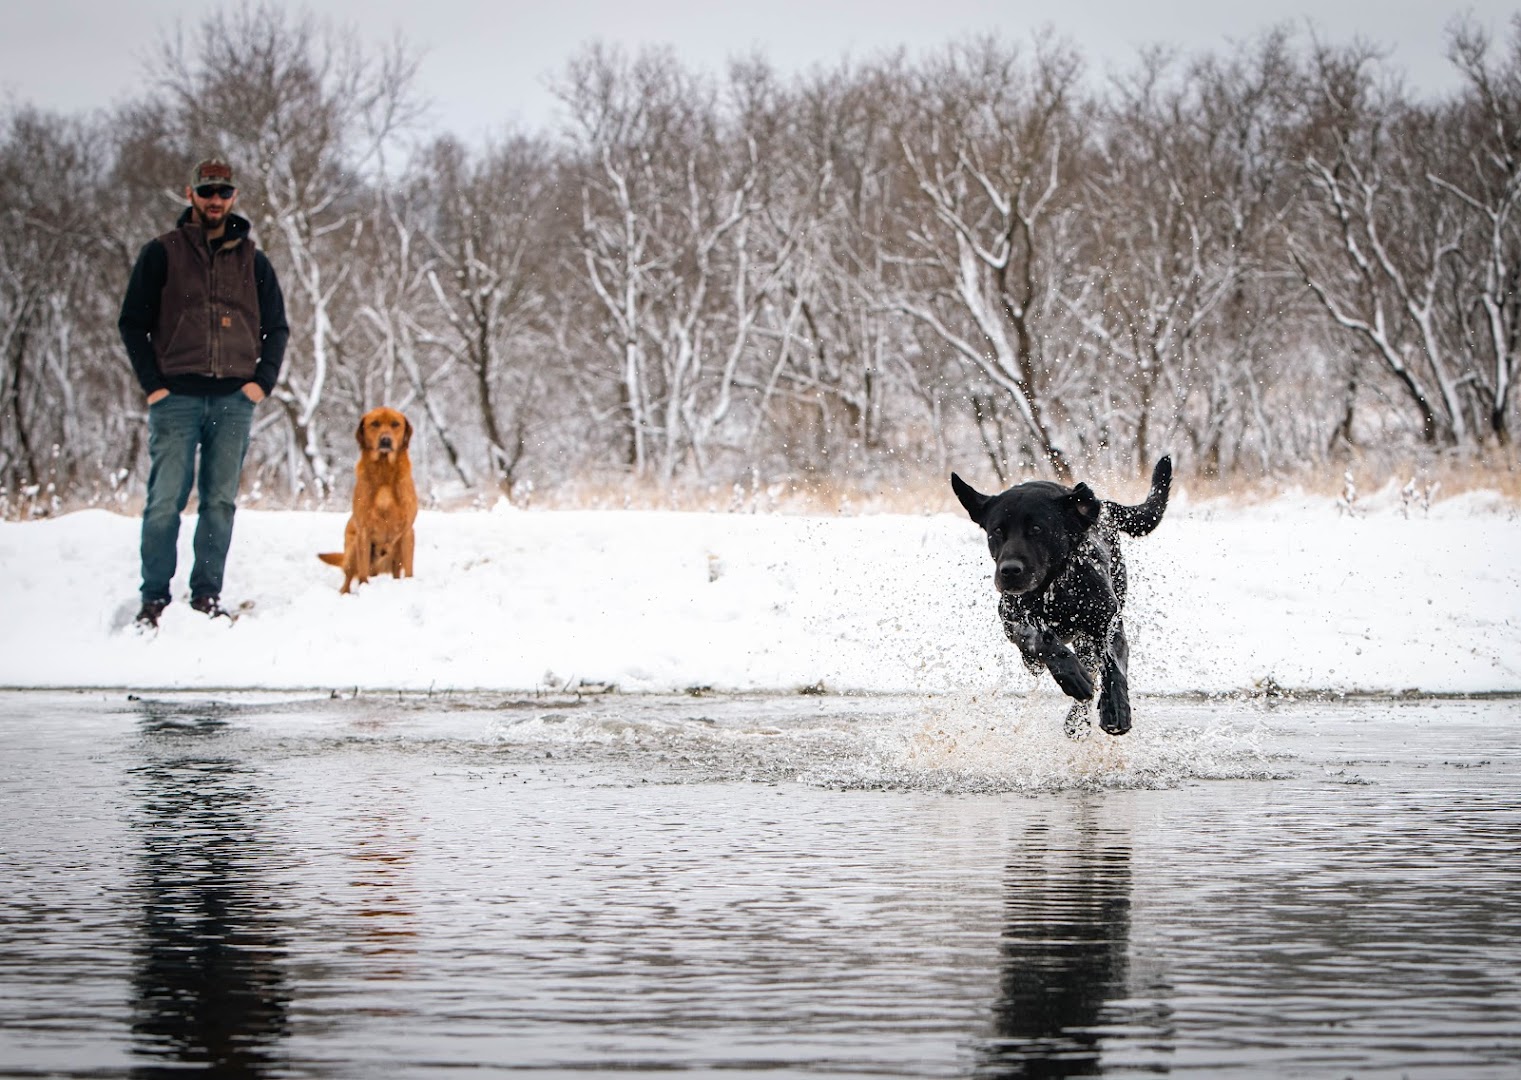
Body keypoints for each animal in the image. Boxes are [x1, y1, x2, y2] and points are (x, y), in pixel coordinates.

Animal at [317, 407, 419, 596]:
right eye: (375, 424)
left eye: (395, 424)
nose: (385, 440)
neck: (384, 470)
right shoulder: (363, 531)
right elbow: (363, 570)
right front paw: (364, 587)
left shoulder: (407, 531)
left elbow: (408, 569)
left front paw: (409, 583)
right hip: (352, 549)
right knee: (348, 578)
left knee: (396, 571)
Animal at [949, 456, 1174, 736]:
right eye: (997, 531)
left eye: (1036, 529)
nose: (1009, 570)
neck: (1053, 588)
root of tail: (1103, 507)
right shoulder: (1011, 617)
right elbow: (1040, 638)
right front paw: (1070, 675)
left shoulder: (1108, 622)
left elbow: (1113, 664)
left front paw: (1116, 708)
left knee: (1093, 665)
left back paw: (1079, 719)